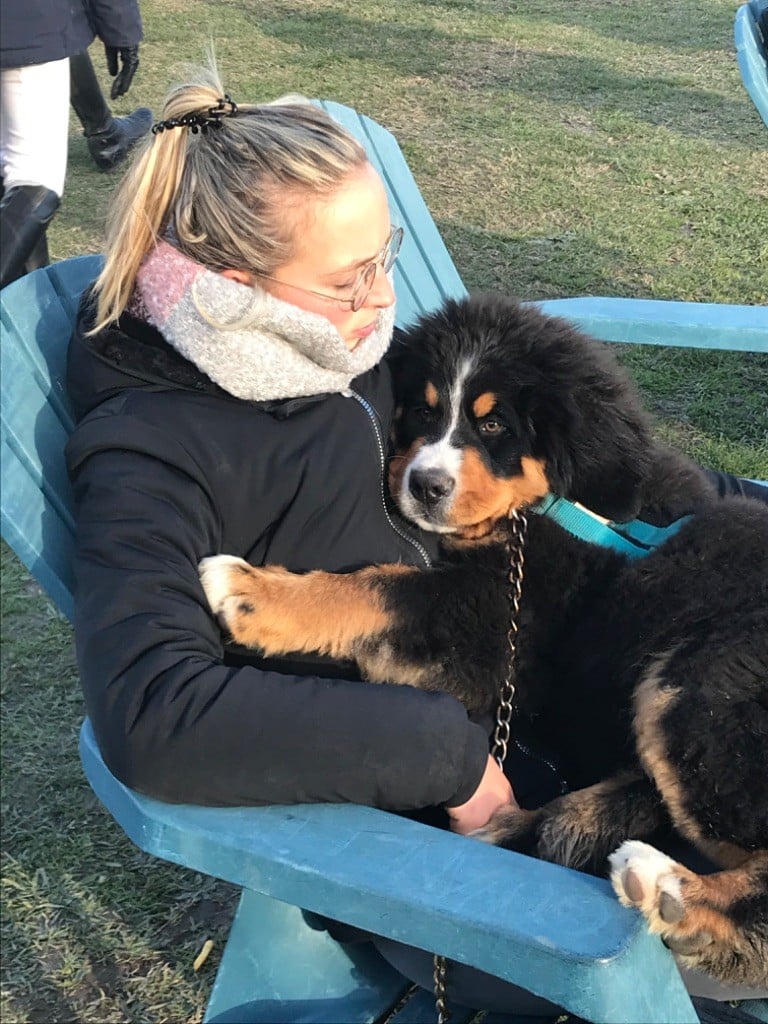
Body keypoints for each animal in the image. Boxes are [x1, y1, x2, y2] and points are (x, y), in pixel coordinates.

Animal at [199, 294, 768, 988]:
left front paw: (250, 590)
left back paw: (670, 889)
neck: (555, 506)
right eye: (422, 410)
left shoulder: (492, 627)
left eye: (495, 426)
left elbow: (376, 587)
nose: (425, 485)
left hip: (696, 682)